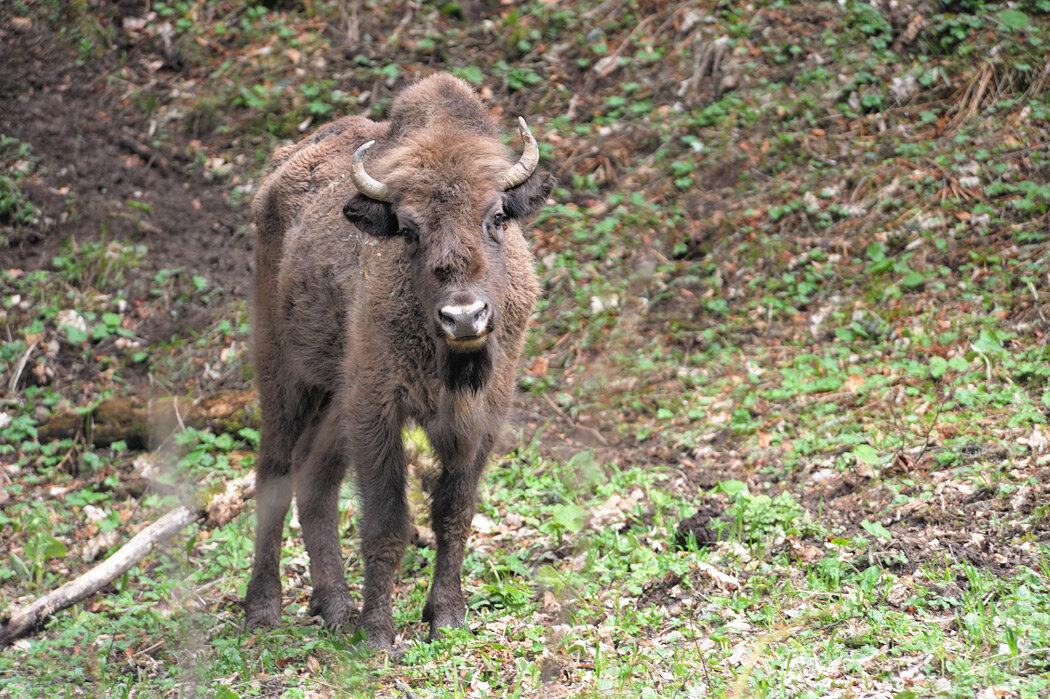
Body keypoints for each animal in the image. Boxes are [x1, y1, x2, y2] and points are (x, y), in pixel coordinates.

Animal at [245, 73, 558, 646]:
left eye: (498, 216)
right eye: (409, 231)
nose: (464, 317)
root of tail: (275, 178)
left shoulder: (484, 414)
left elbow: (454, 511)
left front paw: (446, 616)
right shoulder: (378, 409)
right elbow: (387, 521)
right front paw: (378, 635)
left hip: (334, 396)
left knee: (314, 479)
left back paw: (334, 606)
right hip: (284, 375)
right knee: (274, 473)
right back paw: (263, 608)